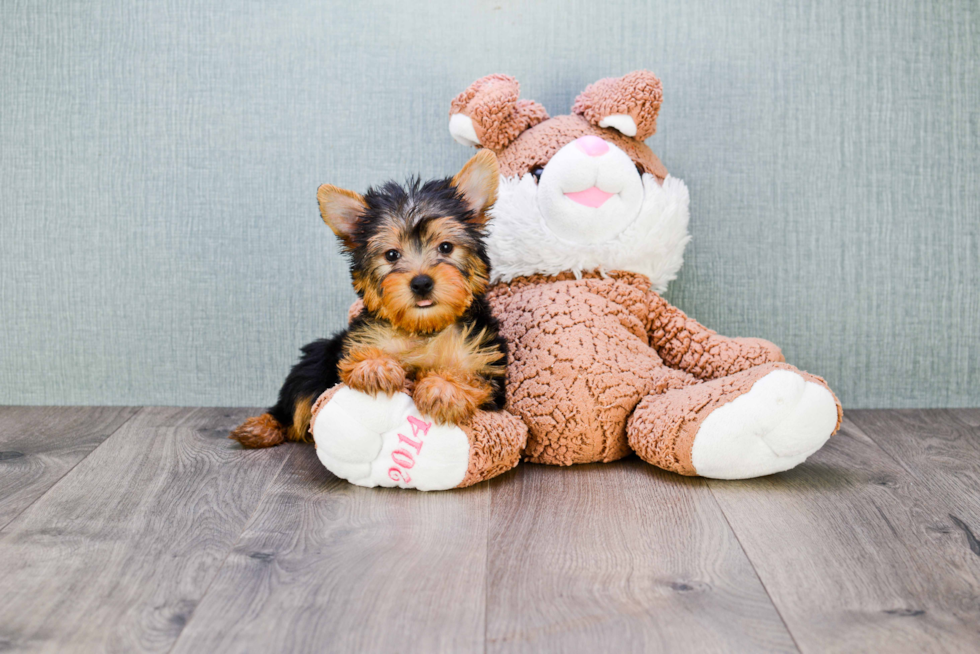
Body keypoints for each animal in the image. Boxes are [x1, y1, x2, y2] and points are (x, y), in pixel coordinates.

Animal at [230, 151, 506, 452]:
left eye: (446, 247)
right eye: (392, 255)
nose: (421, 283)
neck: (422, 328)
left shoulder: (484, 361)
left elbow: (472, 377)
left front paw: (444, 387)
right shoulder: (359, 340)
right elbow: (363, 355)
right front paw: (375, 366)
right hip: (317, 358)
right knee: (296, 400)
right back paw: (261, 427)